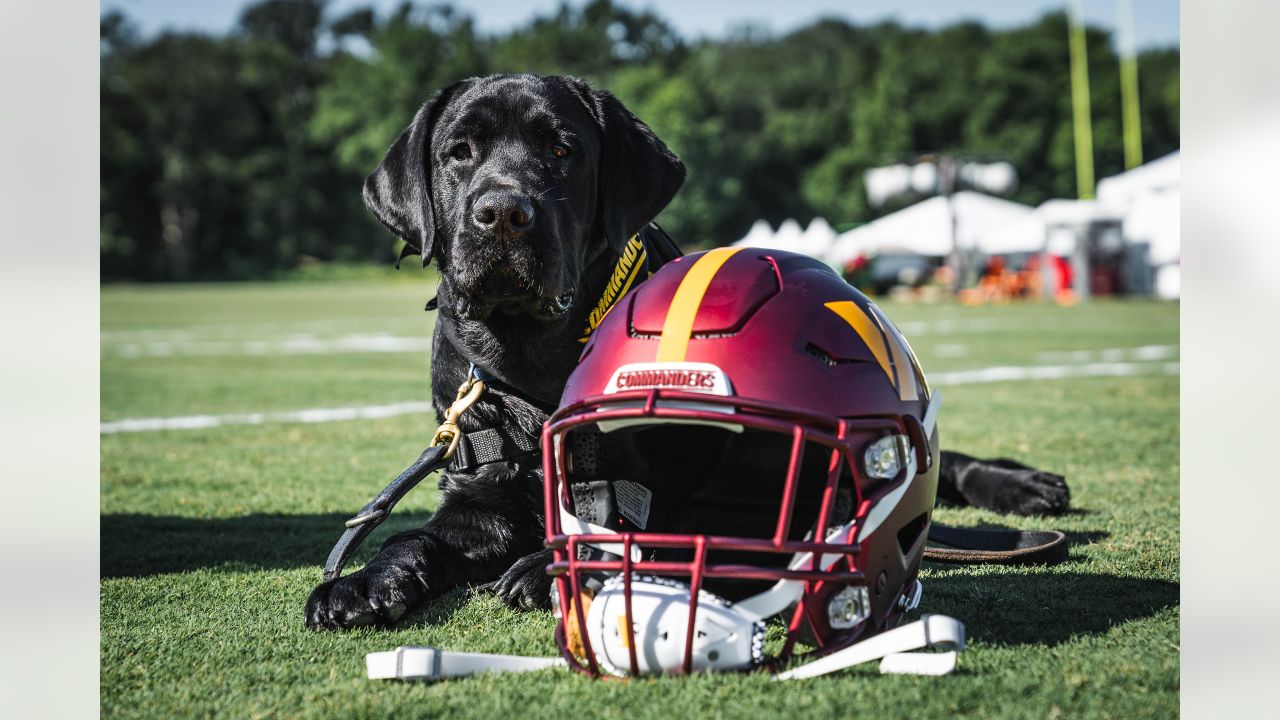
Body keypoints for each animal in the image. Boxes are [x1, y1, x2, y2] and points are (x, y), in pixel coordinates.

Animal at [302, 74, 1070, 627]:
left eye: (561, 149)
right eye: (459, 152)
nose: (502, 213)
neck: (534, 361)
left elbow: (652, 525)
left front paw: (541, 570)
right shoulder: (477, 503)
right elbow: (412, 538)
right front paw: (363, 583)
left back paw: (1023, 484)